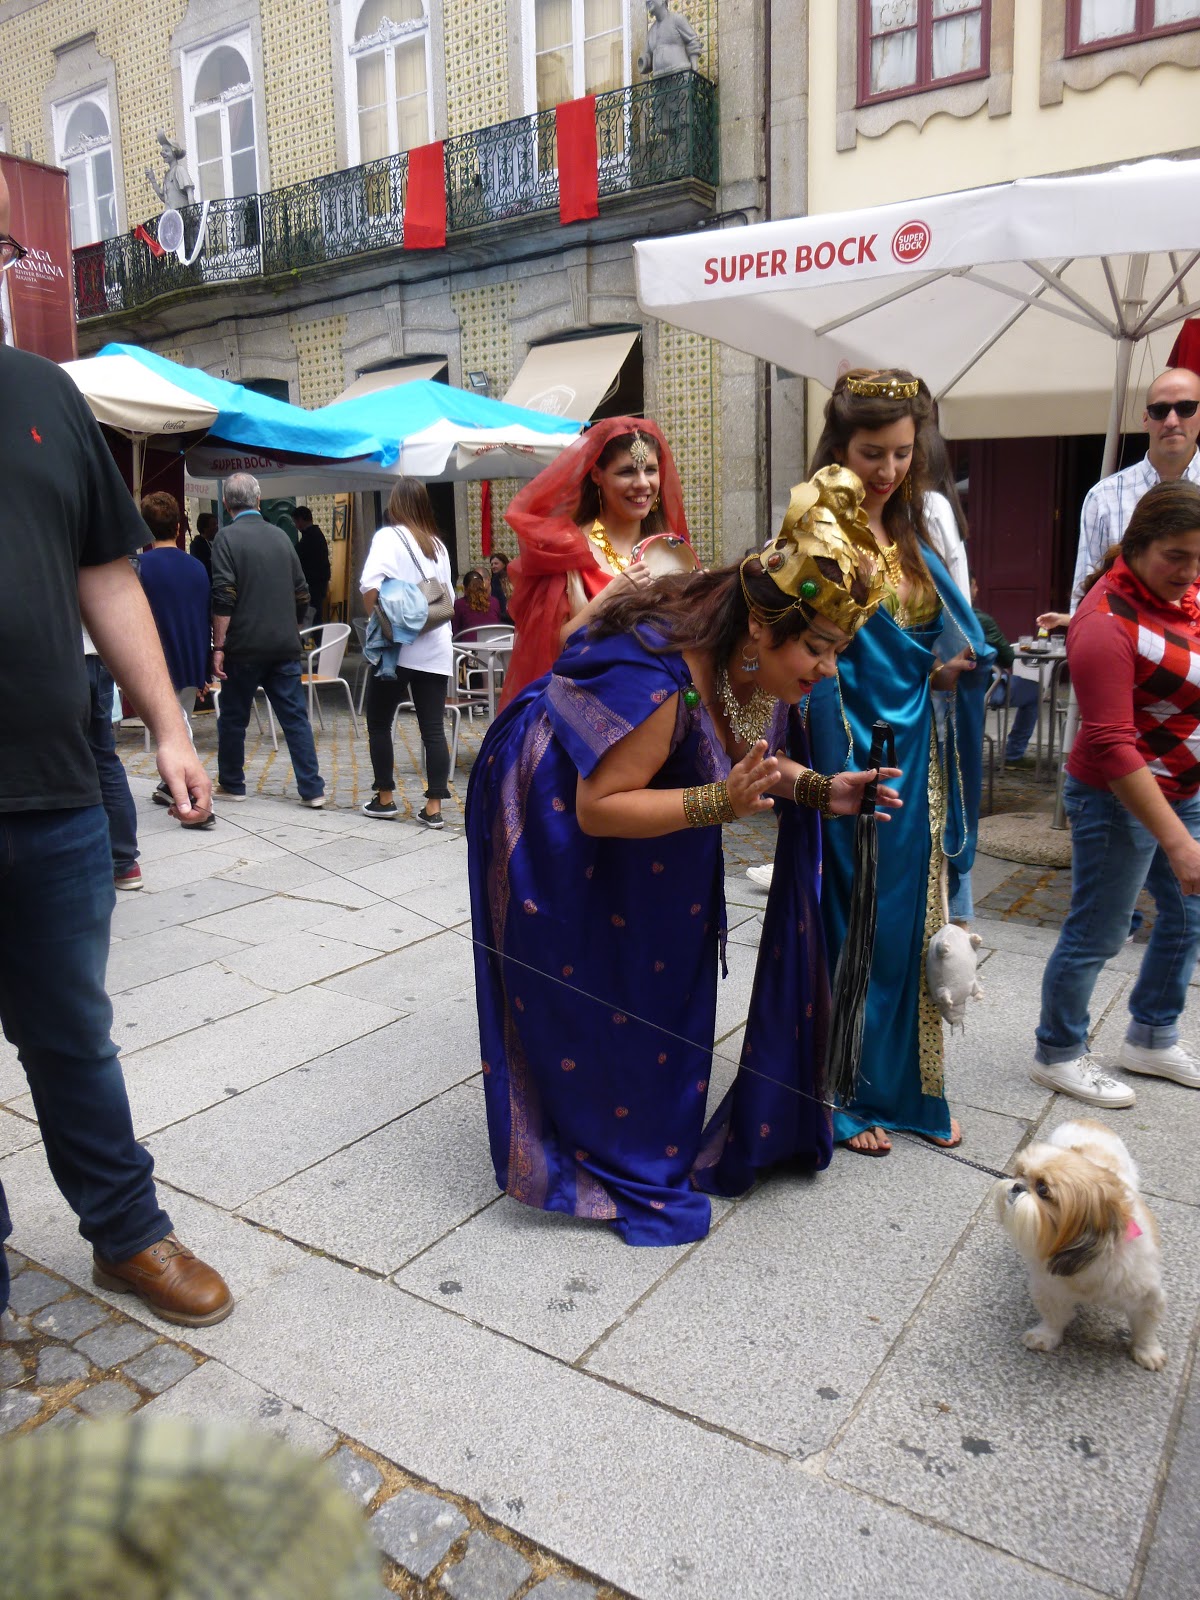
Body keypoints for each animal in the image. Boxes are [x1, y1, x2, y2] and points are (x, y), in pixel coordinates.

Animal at [994, 1119, 1166, 1371]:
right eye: (1020, 1173)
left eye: (1043, 1189)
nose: (1017, 1185)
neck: (1086, 1261)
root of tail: (1087, 1120)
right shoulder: (1049, 1287)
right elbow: (1053, 1317)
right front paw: (1045, 1335)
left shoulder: (1145, 1294)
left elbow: (1145, 1327)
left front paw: (1148, 1351)